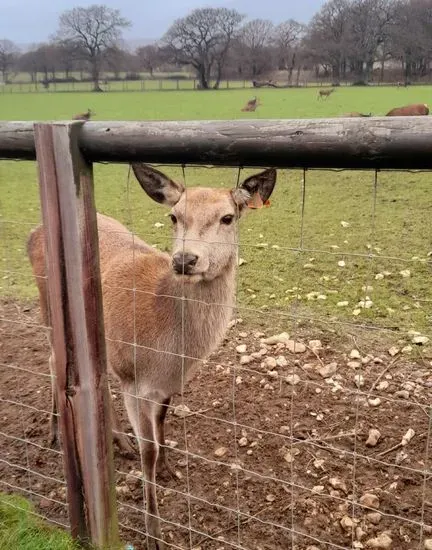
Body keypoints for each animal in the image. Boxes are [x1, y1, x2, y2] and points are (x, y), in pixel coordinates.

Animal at [27, 164, 276, 550]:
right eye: (174, 215)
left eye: (228, 217)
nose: (185, 260)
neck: (168, 350)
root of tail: (33, 234)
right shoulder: (135, 380)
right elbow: (149, 449)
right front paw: (154, 532)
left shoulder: (166, 383)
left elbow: (161, 427)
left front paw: (168, 469)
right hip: (48, 305)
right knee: (55, 362)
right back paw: (55, 432)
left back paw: (119, 441)